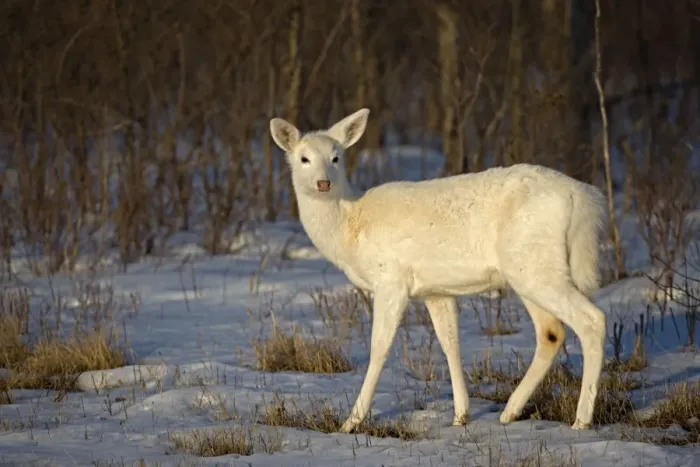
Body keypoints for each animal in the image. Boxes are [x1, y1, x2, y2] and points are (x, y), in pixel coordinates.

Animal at [269, 108, 608, 433]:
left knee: (592, 320)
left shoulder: (391, 279)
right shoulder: (436, 291)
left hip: (538, 266)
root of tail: (583, 199)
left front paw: (351, 422)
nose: (323, 183)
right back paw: (510, 412)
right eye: (304, 158)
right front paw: (461, 416)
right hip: (528, 270)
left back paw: (581, 420)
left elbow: (379, 347)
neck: (348, 228)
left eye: (336, 157)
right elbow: (450, 344)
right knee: (551, 332)